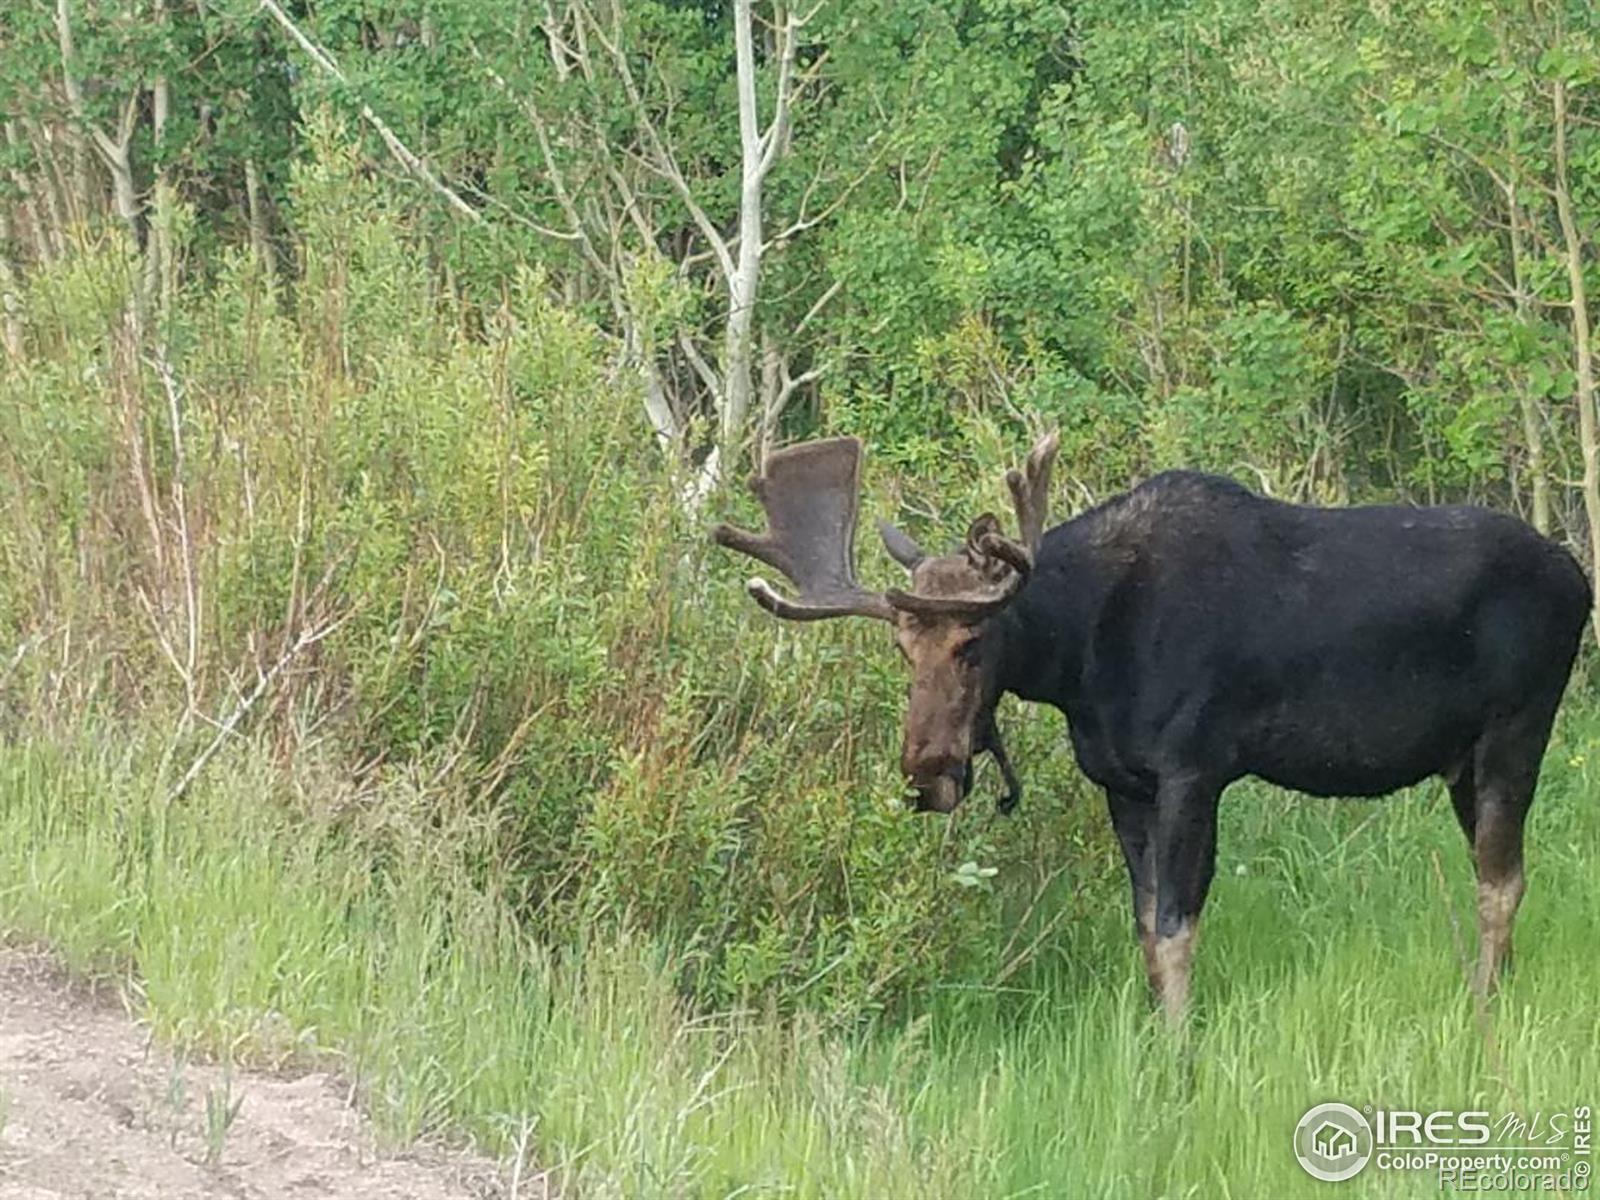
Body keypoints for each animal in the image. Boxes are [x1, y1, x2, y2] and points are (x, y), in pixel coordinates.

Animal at [713, 438, 1587, 1017]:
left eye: (974, 643)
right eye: (901, 647)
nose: (927, 772)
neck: (1079, 659)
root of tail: (1580, 581)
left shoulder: (1192, 769)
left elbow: (1175, 927)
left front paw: (1179, 1053)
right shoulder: (1121, 782)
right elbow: (1143, 929)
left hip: (1517, 731)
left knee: (1501, 880)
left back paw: (1482, 1006)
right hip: (1462, 761)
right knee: (1501, 872)